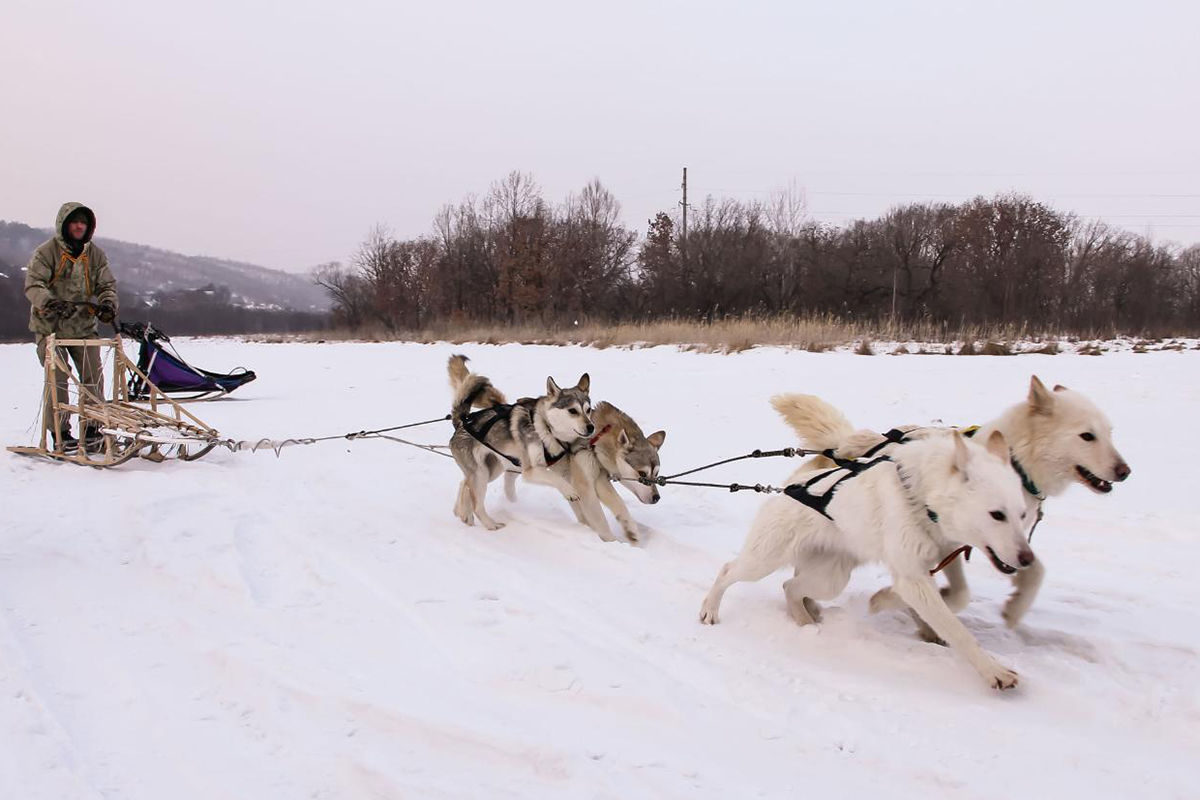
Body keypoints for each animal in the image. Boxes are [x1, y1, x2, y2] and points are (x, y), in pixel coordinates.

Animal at [446, 357, 595, 532]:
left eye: (588, 410)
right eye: (573, 411)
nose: (591, 427)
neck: (545, 429)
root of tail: (461, 423)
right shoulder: (530, 471)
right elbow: (554, 477)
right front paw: (569, 491)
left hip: (492, 469)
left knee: (465, 484)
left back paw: (462, 513)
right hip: (481, 474)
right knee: (477, 504)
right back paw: (491, 524)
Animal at [504, 400, 672, 544]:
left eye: (656, 474)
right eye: (642, 474)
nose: (656, 497)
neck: (596, 439)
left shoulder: (600, 479)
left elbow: (619, 505)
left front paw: (630, 529)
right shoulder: (585, 485)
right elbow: (600, 520)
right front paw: (612, 543)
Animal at [700, 398, 1036, 690]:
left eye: (1022, 514)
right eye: (997, 514)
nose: (1027, 559)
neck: (921, 496)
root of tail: (784, 489)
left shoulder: (937, 558)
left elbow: (949, 596)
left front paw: (885, 600)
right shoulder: (912, 575)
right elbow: (957, 630)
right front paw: (993, 671)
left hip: (830, 578)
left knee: (790, 587)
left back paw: (806, 621)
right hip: (765, 560)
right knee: (729, 571)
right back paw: (710, 609)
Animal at [787, 376, 1123, 638]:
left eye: (1110, 432)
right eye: (1087, 436)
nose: (1125, 471)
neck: (1014, 460)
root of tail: (842, 445)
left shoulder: (994, 541)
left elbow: (1034, 571)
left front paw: (1015, 609)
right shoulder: (956, 542)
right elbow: (957, 595)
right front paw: (909, 605)